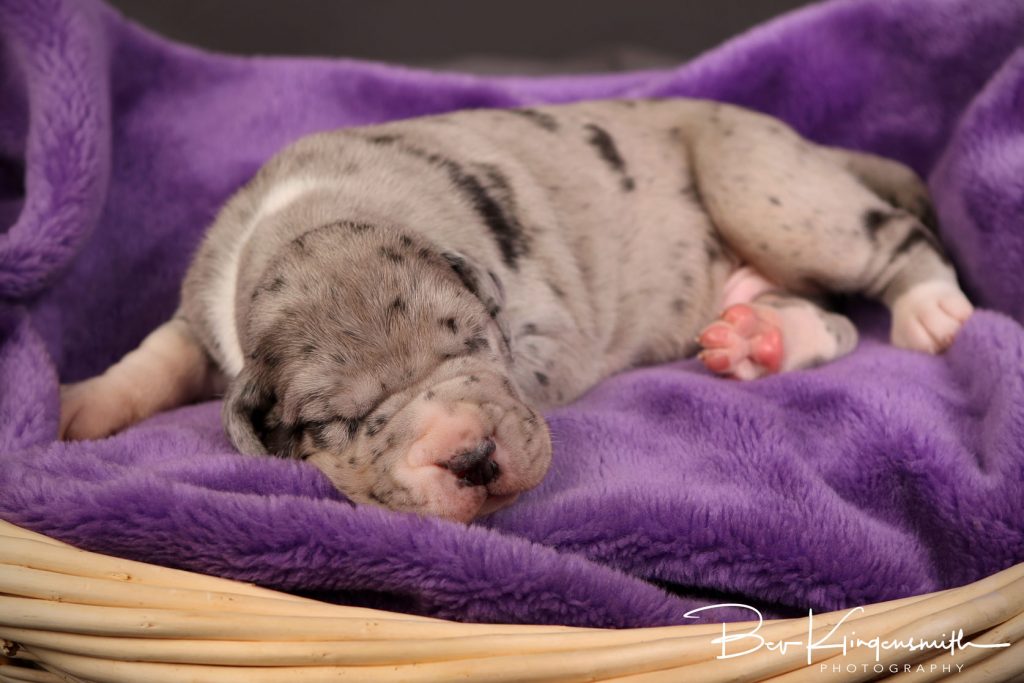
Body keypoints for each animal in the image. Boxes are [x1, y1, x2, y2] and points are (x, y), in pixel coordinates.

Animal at [58, 98, 974, 520]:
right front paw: (79, 407)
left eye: (473, 344)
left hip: (766, 186)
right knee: (827, 315)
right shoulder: (199, 311)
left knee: (888, 253)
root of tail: (813, 146)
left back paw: (934, 309)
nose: (472, 457)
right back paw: (757, 334)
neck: (311, 211)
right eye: (338, 419)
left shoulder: (545, 332)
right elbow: (158, 353)